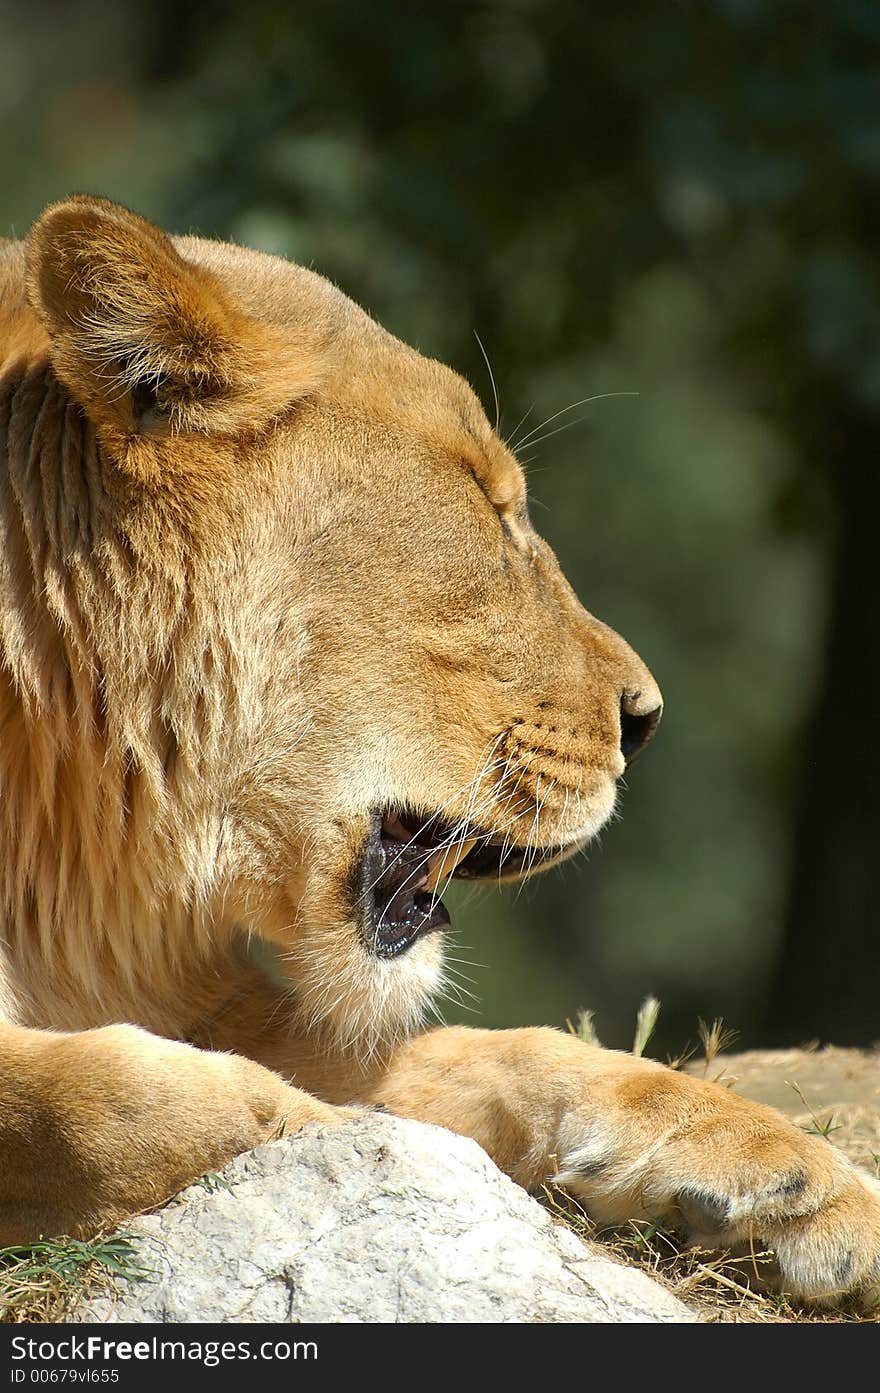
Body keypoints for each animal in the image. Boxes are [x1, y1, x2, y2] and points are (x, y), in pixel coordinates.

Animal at [0, 193, 874, 1303]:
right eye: (489, 506)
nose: (644, 718)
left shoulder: (219, 996)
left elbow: (507, 1055)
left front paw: (792, 1180)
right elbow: (116, 1103)